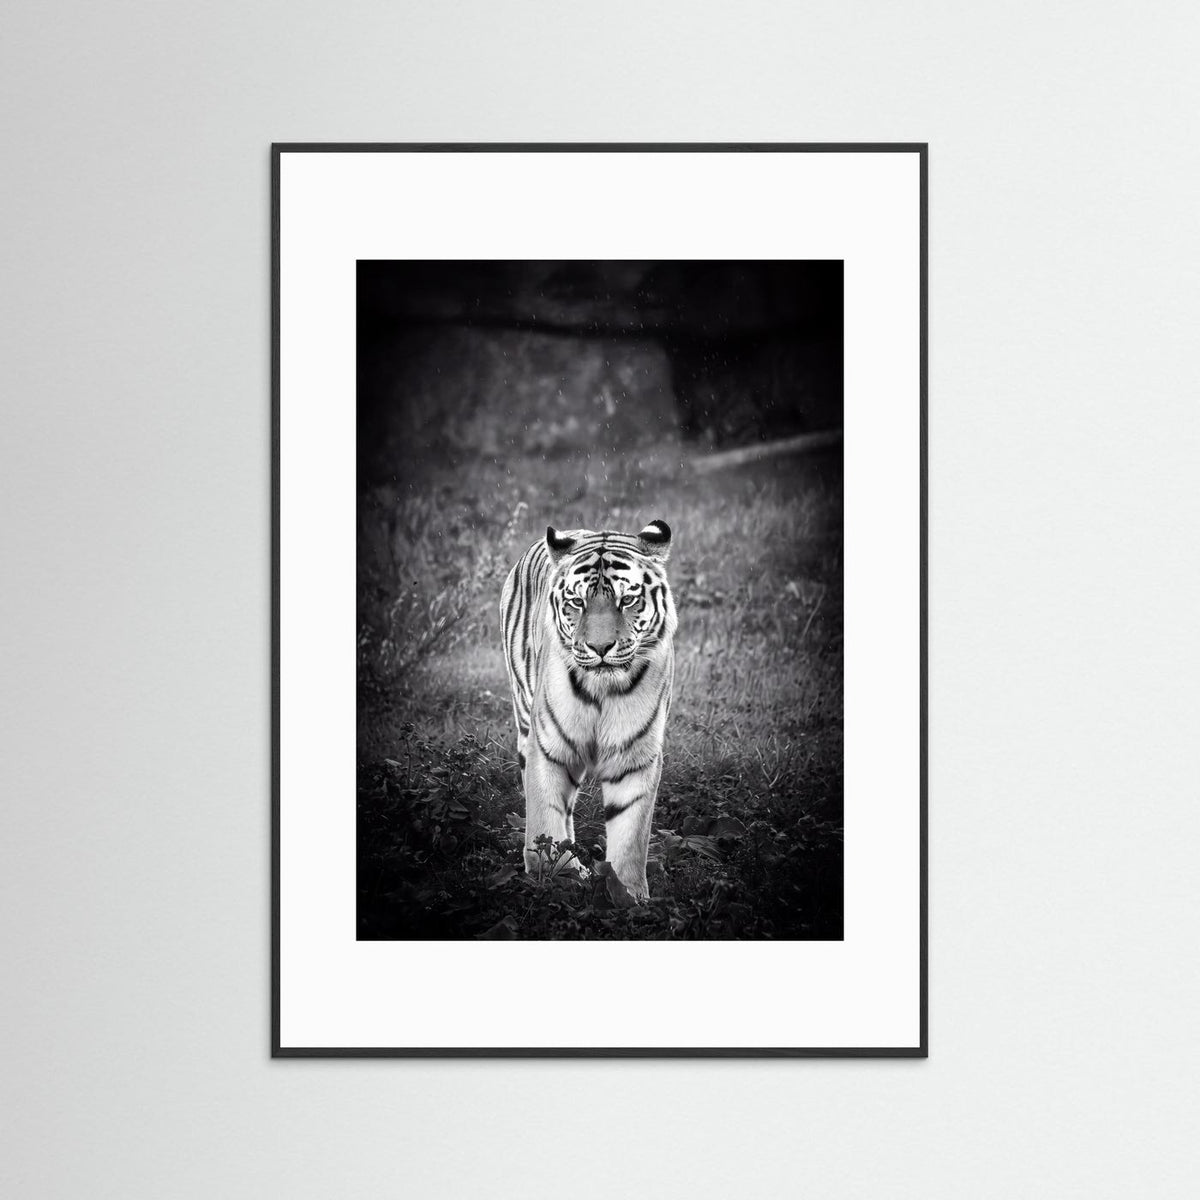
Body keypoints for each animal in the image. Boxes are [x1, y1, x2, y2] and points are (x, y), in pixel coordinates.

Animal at [500, 519, 677, 900]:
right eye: (577, 602)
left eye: (627, 600)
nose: (600, 647)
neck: (602, 690)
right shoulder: (548, 747)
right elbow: (545, 816)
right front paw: (555, 876)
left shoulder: (635, 756)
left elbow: (631, 833)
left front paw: (628, 895)